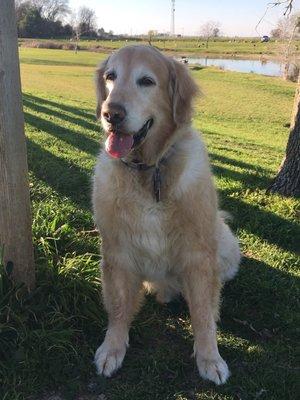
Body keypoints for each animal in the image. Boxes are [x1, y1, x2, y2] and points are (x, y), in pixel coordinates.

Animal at [92, 44, 240, 384]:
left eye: (146, 81)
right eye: (110, 76)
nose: (111, 114)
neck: (150, 170)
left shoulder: (199, 255)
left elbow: (203, 315)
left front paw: (210, 358)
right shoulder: (116, 251)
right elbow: (118, 307)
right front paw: (112, 348)